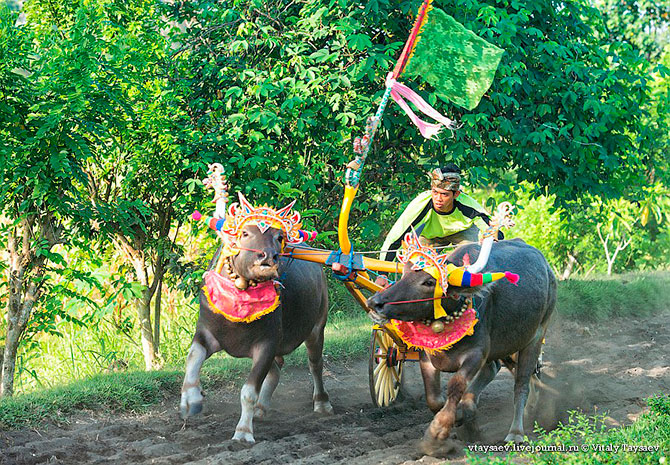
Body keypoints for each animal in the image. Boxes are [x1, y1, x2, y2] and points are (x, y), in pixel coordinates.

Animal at [181, 222, 334, 442]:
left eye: (279, 237)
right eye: (245, 233)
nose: (268, 257)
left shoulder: (267, 344)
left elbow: (248, 392)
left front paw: (243, 432)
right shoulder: (206, 333)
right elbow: (192, 358)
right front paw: (190, 400)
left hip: (317, 327)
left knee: (315, 365)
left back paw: (322, 402)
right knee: (276, 371)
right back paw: (261, 408)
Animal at [368, 239, 556, 446]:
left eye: (429, 282)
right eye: (404, 274)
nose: (375, 303)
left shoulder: (476, 354)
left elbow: (456, 385)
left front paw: (439, 429)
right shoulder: (427, 356)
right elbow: (434, 398)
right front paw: (460, 418)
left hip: (535, 337)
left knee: (521, 382)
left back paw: (516, 431)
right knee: (497, 370)